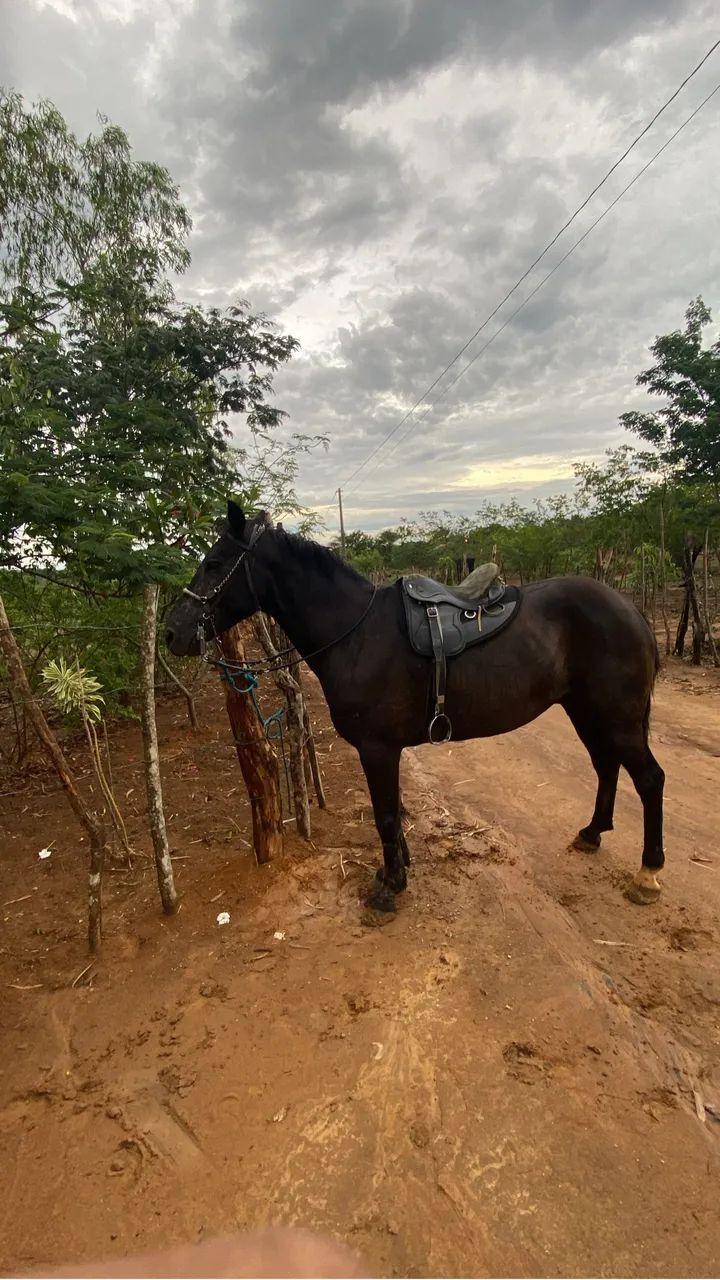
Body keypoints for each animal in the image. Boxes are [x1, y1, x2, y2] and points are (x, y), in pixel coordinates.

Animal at [165, 502, 665, 915]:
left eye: (214, 564)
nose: (172, 632)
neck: (356, 633)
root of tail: (630, 610)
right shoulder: (384, 751)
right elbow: (391, 813)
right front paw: (395, 869)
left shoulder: (377, 749)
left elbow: (386, 814)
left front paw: (390, 888)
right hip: (587, 712)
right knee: (607, 767)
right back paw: (593, 832)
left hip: (615, 718)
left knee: (649, 779)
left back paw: (648, 874)